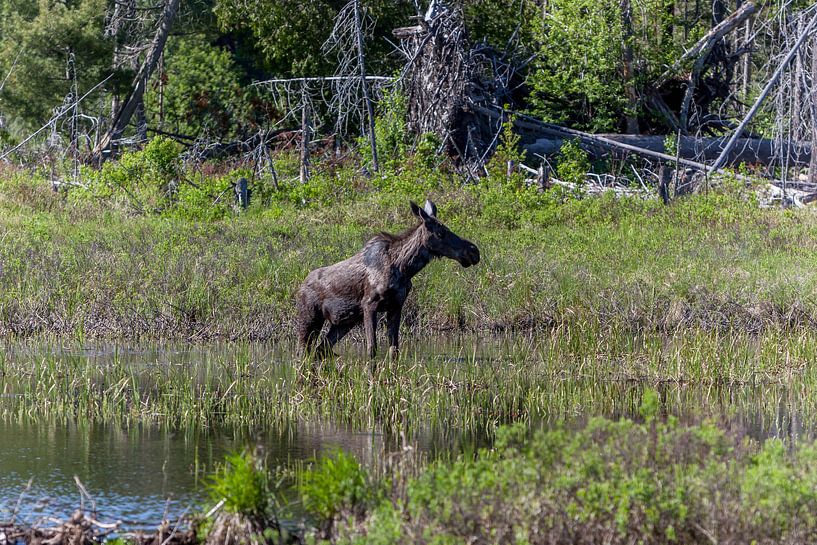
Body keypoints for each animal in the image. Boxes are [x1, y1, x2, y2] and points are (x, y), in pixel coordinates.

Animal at [298, 198, 482, 360]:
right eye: (440, 233)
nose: (473, 251)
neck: (405, 268)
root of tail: (300, 286)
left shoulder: (396, 305)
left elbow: (394, 349)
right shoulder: (369, 304)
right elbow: (372, 349)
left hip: (344, 323)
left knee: (321, 348)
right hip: (309, 319)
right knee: (303, 350)